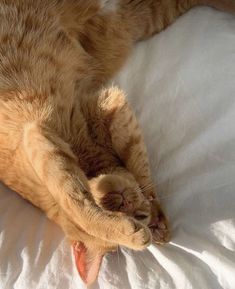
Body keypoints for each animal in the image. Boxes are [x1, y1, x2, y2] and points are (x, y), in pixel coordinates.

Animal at [0, 0, 234, 284]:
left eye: (138, 214)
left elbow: (80, 199)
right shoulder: (89, 112)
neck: (88, 158)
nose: (124, 201)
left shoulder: (48, 133)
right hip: (140, 18)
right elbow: (77, 200)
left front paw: (152, 209)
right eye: (130, 214)